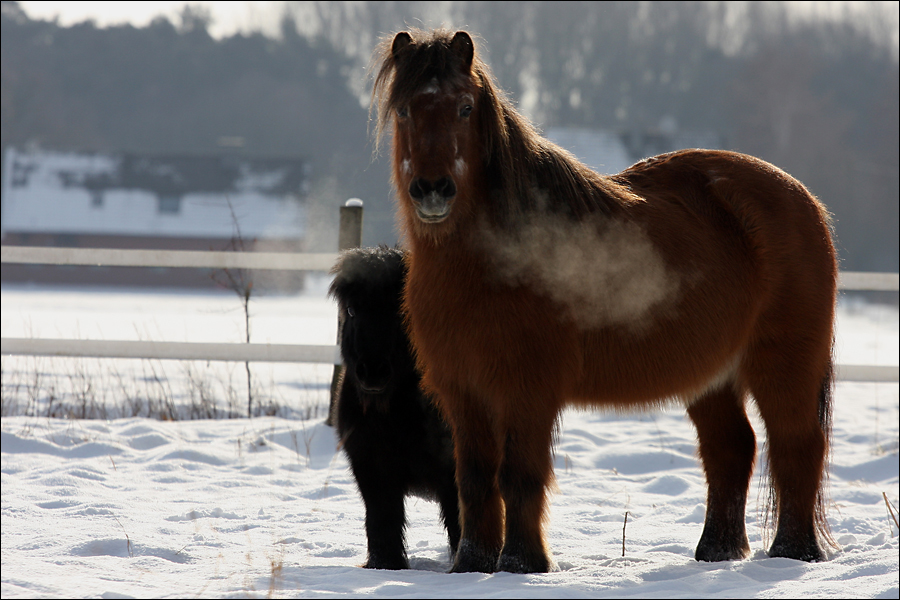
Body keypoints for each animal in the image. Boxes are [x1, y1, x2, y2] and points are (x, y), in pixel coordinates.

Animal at [326, 246, 460, 568]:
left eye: (402, 310)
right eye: (352, 310)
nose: (373, 371)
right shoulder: (372, 467)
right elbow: (382, 519)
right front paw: (385, 564)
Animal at [370, 27, 836, 572]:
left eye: (464, 107)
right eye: (405, 109)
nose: (432, 191)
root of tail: (805, 200)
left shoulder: (529, 389)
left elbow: (519, 475)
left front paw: (523, 563)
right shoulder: (464, 391)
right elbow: (475, 479)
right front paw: (471, 564)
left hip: (783, 364)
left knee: (795, 446)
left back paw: (793, 554)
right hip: (712, 376)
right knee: (731, 449)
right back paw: (717, 552)